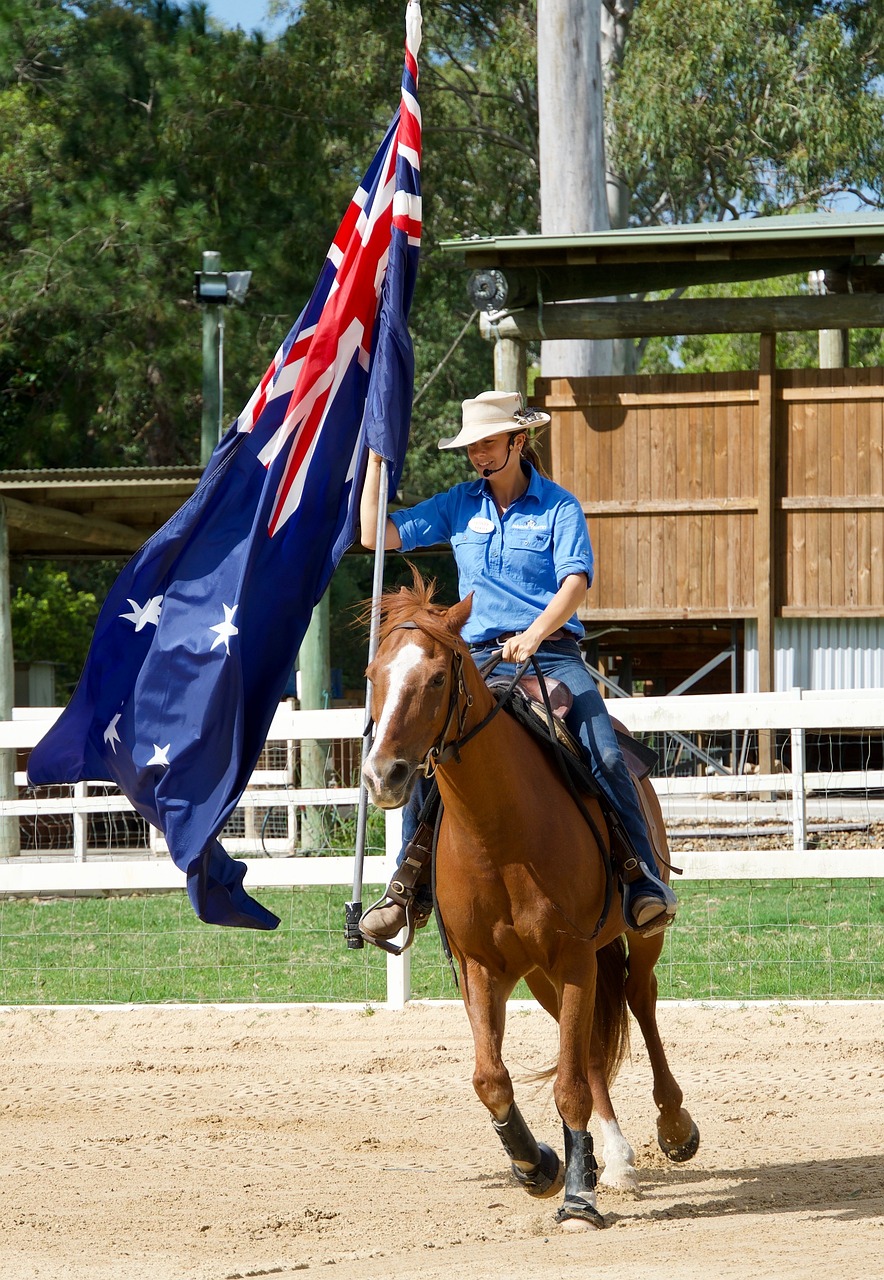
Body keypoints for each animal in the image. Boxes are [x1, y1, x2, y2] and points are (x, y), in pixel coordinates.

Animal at [360, 573, 701, 1228]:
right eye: (372, 674)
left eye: (436, 678)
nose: (383, 775)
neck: (497, 833)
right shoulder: (481, 966)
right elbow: (492, 1079)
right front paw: (537, 1165)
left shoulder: (571, 956)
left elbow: (568, 1086)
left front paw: (578, 1197)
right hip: (549, 975)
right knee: (591, 1048)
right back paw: (614, 1159)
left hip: (631, 940)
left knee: (640, 1004)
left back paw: (673, 1127)